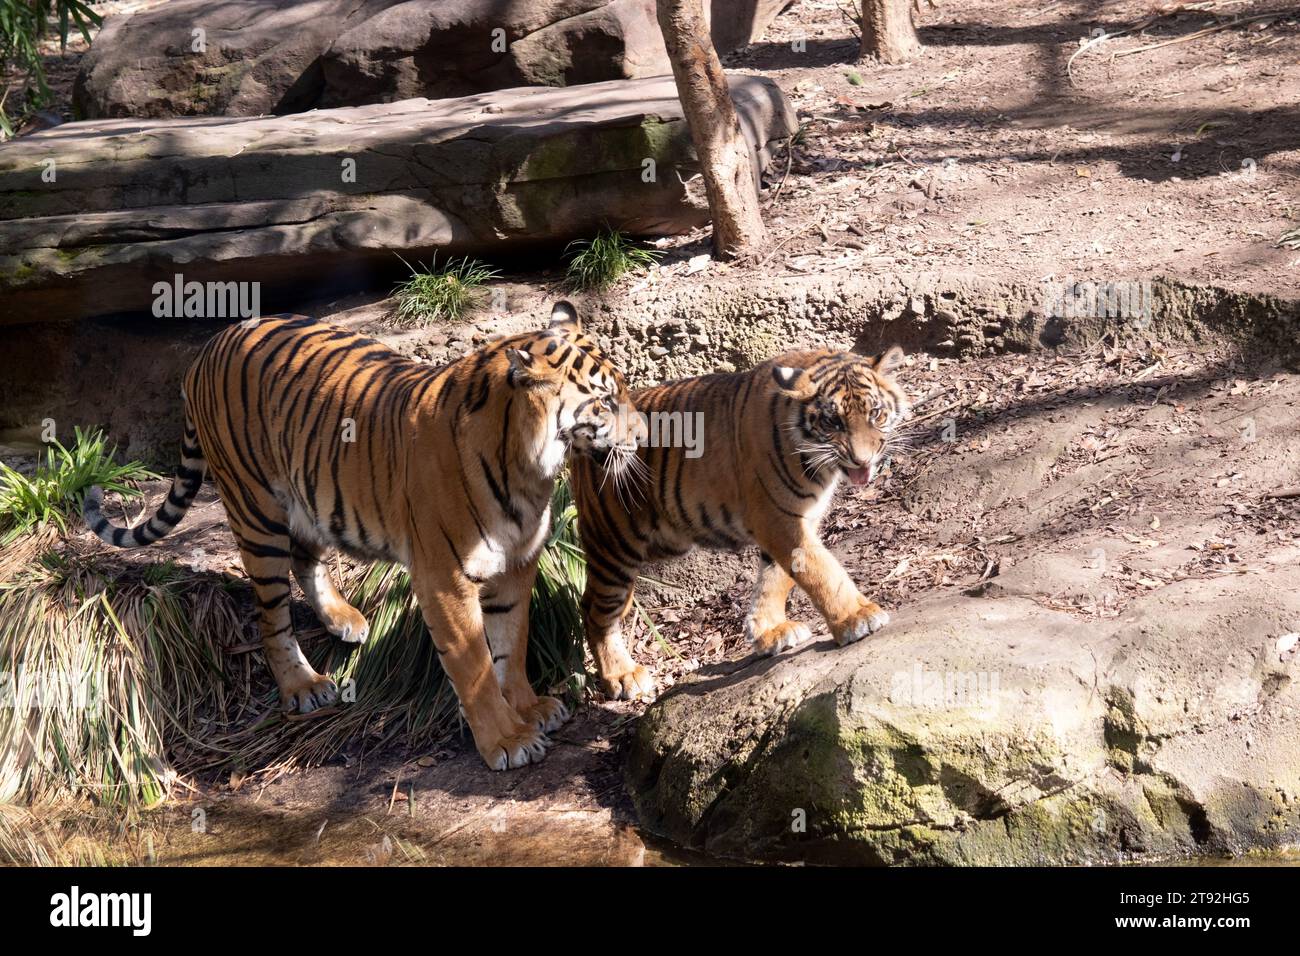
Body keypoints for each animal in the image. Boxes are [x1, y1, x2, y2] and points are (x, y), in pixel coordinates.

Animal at [83, 302, 645, 770]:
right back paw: (303, 685)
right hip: (254, 508)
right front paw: (507, 740)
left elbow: (513, 642)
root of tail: (208, 347)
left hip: (311, 493)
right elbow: (476, 666)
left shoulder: (517, 564)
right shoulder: (445, 579)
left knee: (305, 557)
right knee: (271, 614)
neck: (530, 471)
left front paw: (530, 707)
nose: (643, 435)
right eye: (604, 402)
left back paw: (344, 620)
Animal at [570, 347, 909, 700]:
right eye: (833, 421)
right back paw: (622, 676)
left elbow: (777, 577)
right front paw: (858, 617)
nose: (862, 460)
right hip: (615, 544)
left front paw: (770, 631)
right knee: (594, 609)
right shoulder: (777, 519)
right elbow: (821, 570)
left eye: (875, 413)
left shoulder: (798, 518)